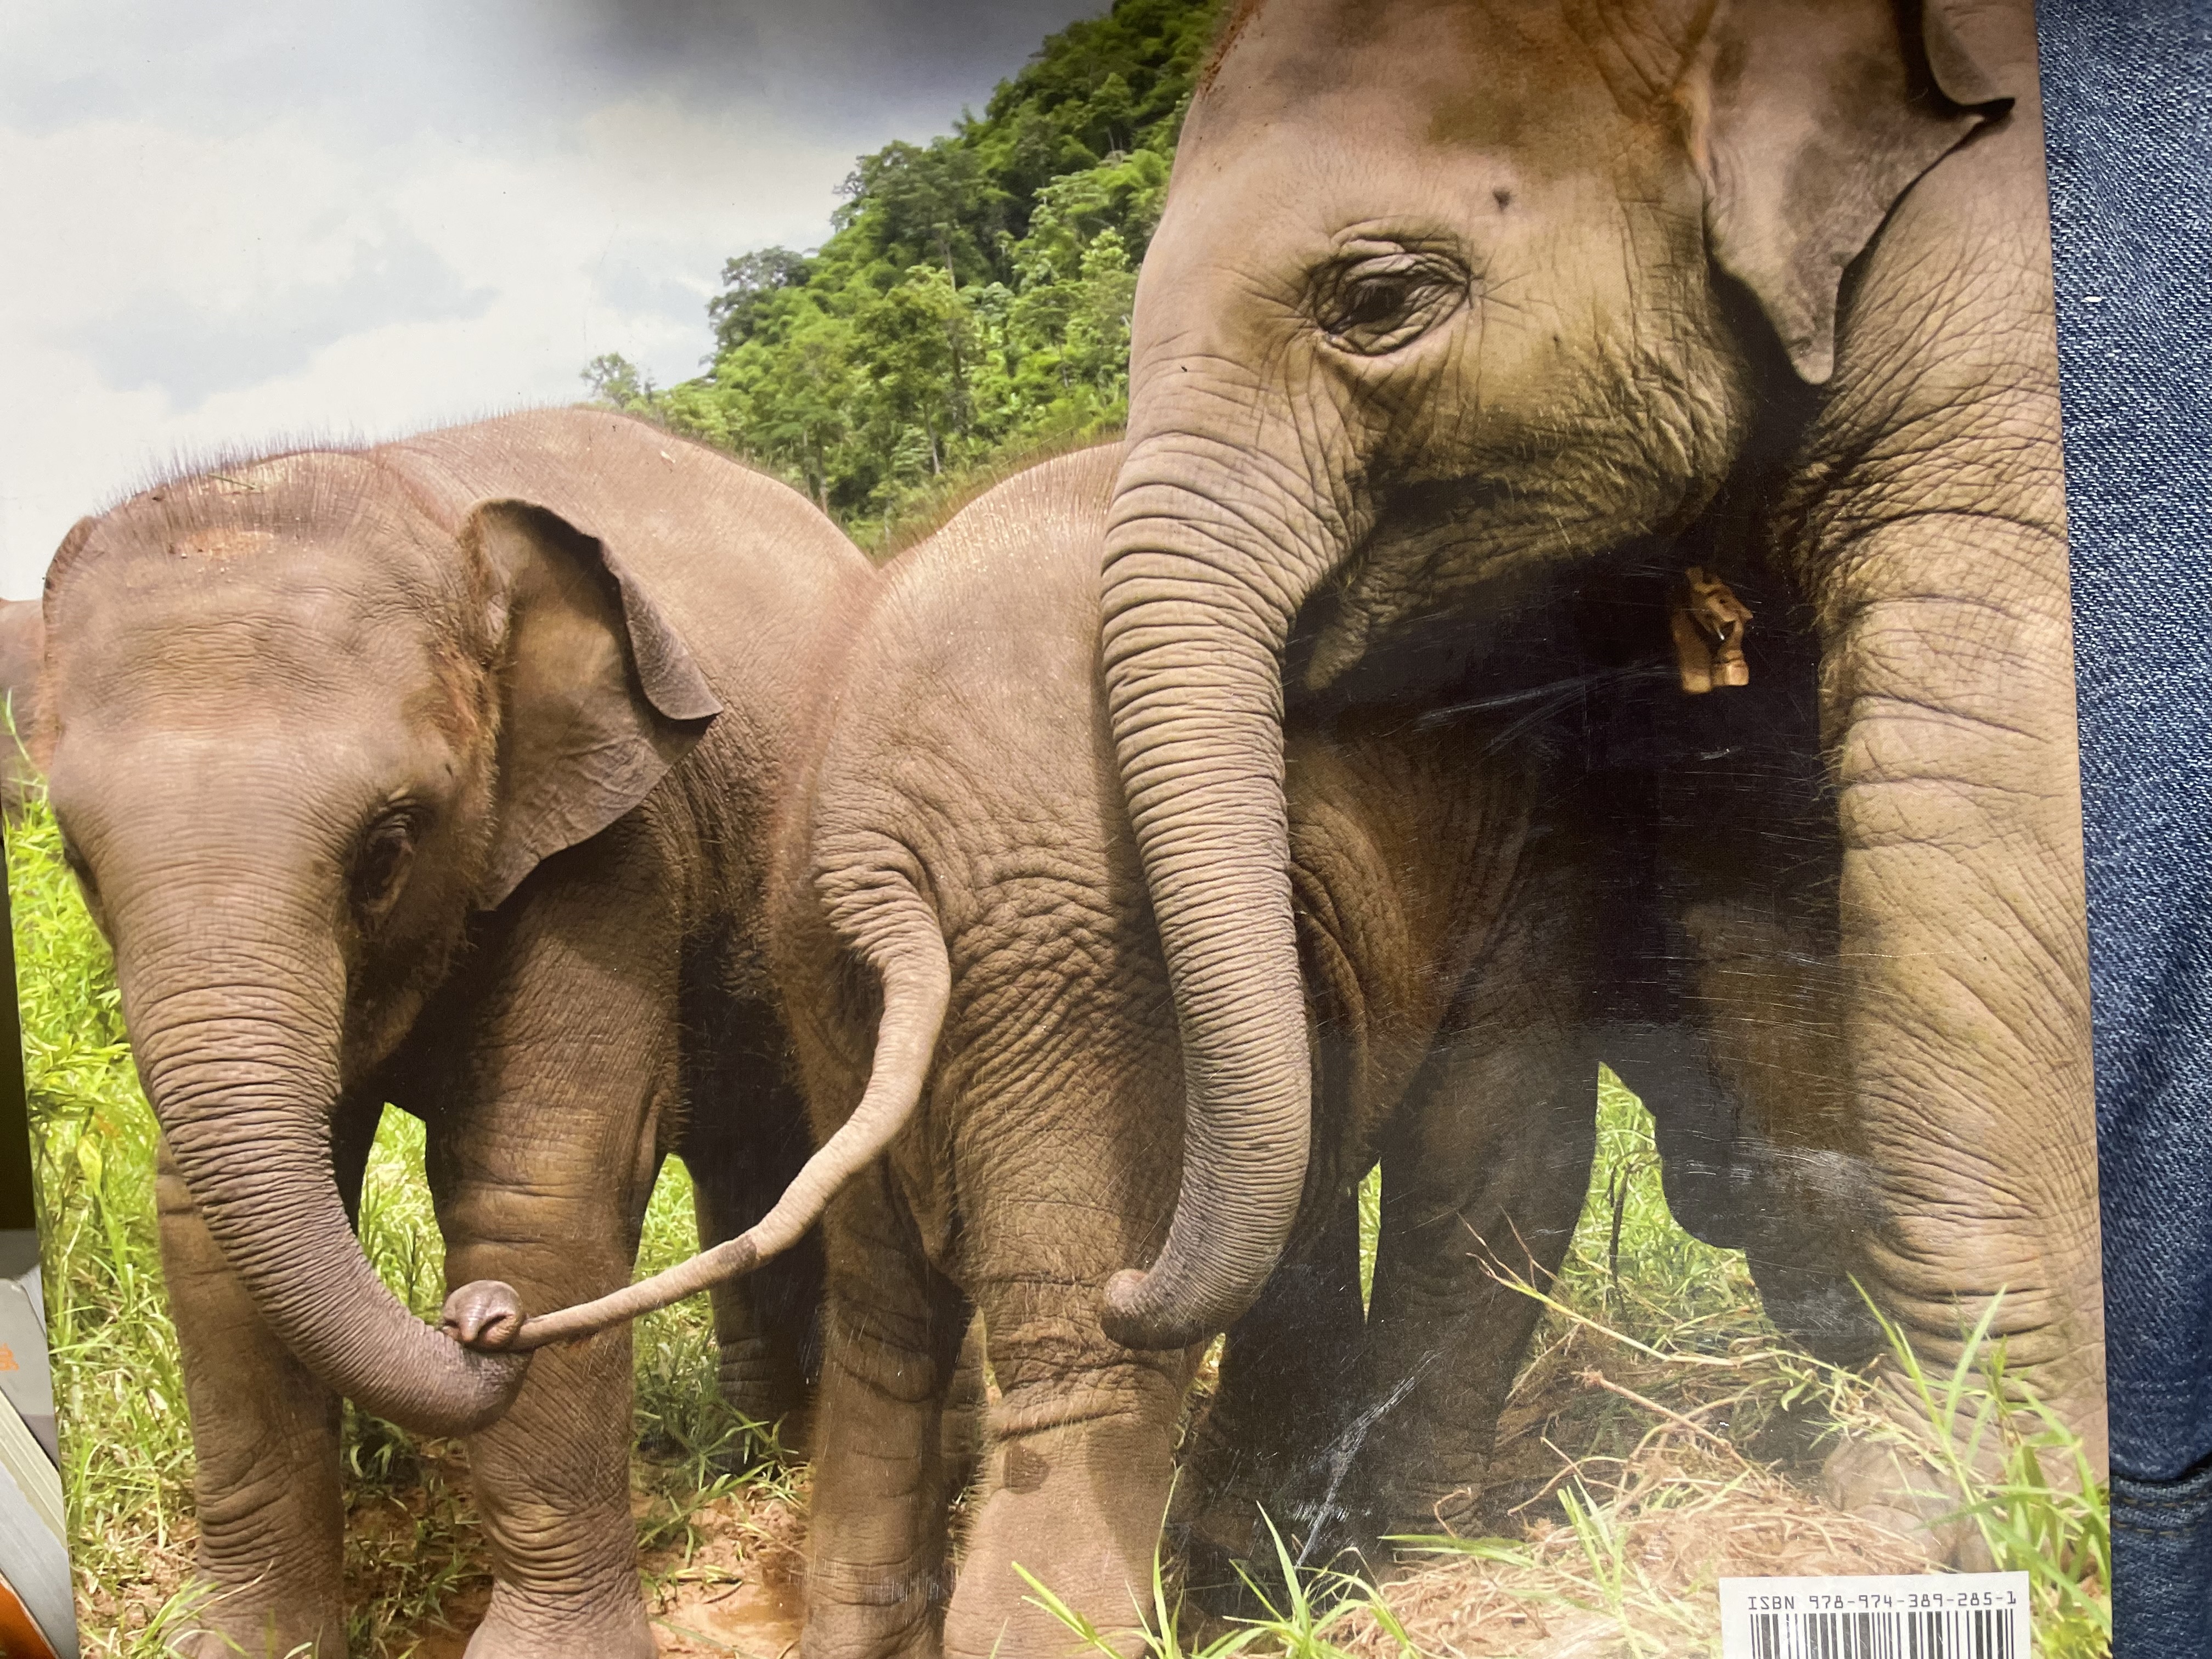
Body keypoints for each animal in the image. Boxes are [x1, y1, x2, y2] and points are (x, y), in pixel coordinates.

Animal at [33, 408, 873, 1657]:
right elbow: (202, 1222)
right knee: (745, 1157)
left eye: (388, 846)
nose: (480, 1322)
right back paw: (749, 1455)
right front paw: (243, 1642)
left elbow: (534, 1187)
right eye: (76, 861)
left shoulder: (615, 843)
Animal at [766, 441, 1605, 1658]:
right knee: (1085, 1344)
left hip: (840, 967)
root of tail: (865, 849)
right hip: (1080, 949)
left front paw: (1281, 1567)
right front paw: (1415, 1562)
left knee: (888, 1307)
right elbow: (1499, 1152)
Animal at [1094, 0, 2102, 1560]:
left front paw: (1927, 1512)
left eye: (1378, 299)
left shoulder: (1999, 329)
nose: (1117, 1293)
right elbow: (1741, 839)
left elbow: (1973, 779)